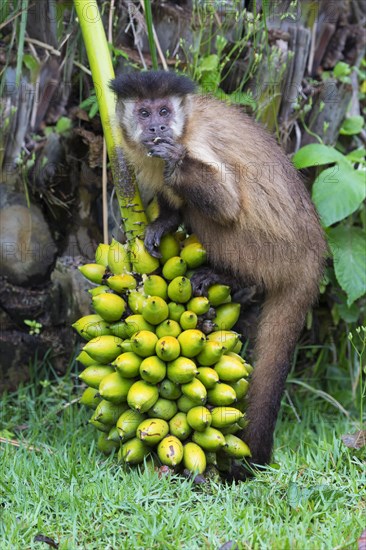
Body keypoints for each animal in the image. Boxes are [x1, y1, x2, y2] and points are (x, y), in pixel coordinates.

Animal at [110, 71, 328, 480]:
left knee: (221, 211)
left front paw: (176, 161)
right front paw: (164, 222)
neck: (185, 125)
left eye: (164, 111)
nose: (157, 127)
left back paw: (233, 280)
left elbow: (225, 203)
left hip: (271, 250)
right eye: (145, 112)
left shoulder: (197, 140)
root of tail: (313, 253)